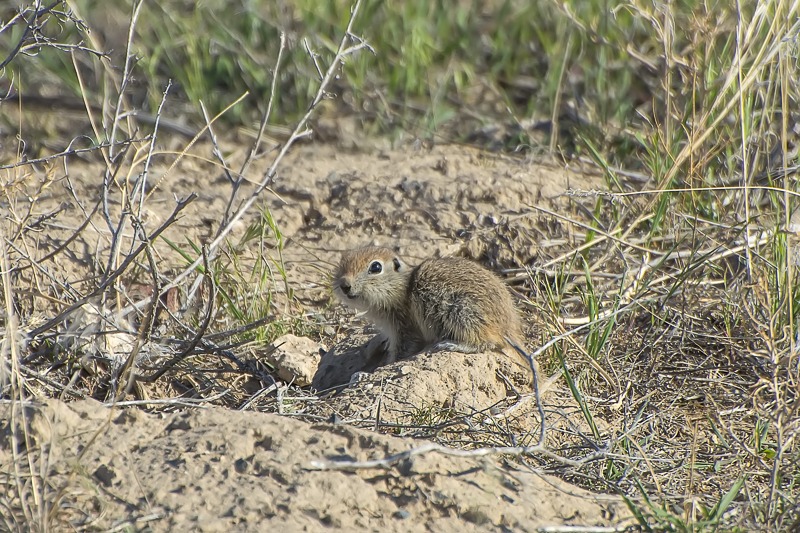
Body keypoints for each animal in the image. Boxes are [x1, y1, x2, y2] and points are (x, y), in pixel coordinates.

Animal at [332, 246, 526, 364]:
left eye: (375, 267)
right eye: (342, 262)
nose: (344, 285)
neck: (403, 288)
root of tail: (509, 328)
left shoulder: (405, 328)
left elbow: (402, 350)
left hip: (462, 312)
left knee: (486, 342)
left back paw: (451, 345)